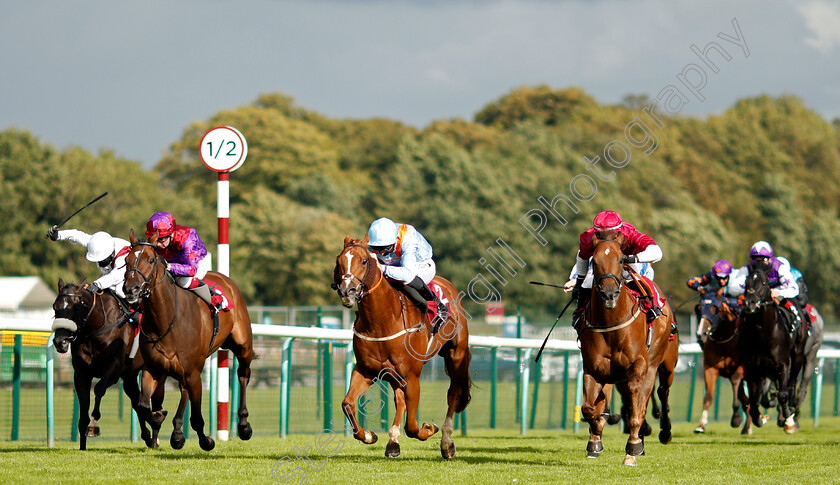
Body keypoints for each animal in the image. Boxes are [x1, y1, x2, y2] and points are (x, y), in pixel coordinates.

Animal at [52, 280, 166, 450]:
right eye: (55, 307)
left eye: (76, 307)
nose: (61, 341)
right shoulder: (81, 374)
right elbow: (83, 408)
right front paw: (82, 446)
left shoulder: (113, 370)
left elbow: (99, 389)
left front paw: (93, 426)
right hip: (129, 376)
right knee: (137, 401)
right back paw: (148, 434)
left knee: (154, 402)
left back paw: (155, 434)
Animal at [121, 232, 253, 450]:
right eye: (126, 261)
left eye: (150, 260)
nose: (131, 289)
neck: (166, 320)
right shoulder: (153, 369)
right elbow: (143, 405)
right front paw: (160, 419)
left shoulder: (194, 373)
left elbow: (197, 417)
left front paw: (206, 440)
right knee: (182, 391)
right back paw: (176, 431)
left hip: (243, 346)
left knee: (243, 374)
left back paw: (243, 425)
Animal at [332, 235, 472, 458]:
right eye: (339, 261)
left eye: (364, 261)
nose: (348, 291)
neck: (381, 321)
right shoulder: (366, 370)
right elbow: (347, 403)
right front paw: (369, 435)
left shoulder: (412, 375)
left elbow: (413, 427)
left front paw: (429, 428)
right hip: (394, 374)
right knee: (399, 399)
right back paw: (393, 443)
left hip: (456, 355)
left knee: (453, 394)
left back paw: (446, 442)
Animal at [580, 238, 680, 466]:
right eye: (594, 261)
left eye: (621, 260)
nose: (609, 293)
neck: (610, 325)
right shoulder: (593, 370)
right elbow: (589, 408)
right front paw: (595, 438)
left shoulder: (638, 367)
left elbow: (637, 409)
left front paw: (632, 448)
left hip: (663, 364)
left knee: (661, 392)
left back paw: (663, 432)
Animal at [692, 296, 752, 432]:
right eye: (699, 308)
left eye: (714, 309)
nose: (701, 333)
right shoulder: (710, 369)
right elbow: (708, 398)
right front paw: (701, 425)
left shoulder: (740, 368)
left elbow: (735, 383)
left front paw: (736, 419)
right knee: (747, 401)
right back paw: (749, 426)